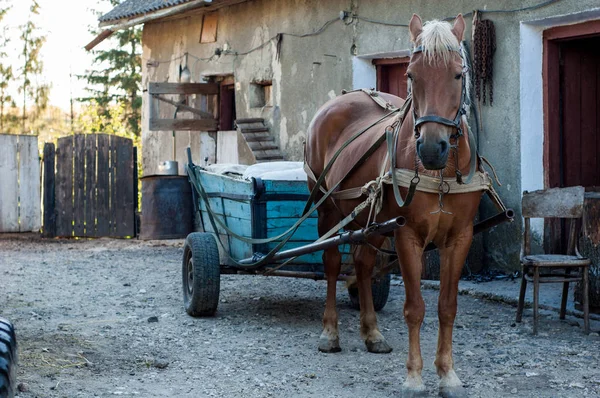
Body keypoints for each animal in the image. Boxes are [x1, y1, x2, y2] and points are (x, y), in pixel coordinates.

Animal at [308, 14, 480, 396]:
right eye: (411, 75)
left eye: (457, 74)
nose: (431, 148)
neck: (439, 174)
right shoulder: (407, 236)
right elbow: (415, 307)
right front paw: (414, 377)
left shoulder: (460, 237)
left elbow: (447, 307)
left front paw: (448, 374)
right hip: (328, 209)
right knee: (331, 265)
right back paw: (329, 332)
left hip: (371, 220)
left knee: (362, 264)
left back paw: (372, 333)